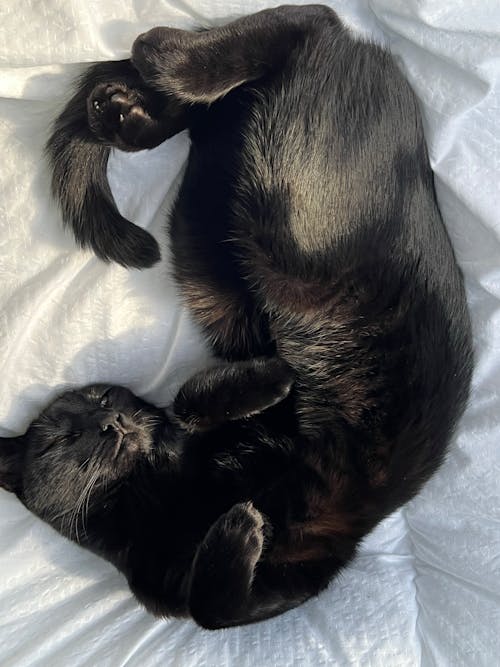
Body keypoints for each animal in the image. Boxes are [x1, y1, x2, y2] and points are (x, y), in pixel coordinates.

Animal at [1, 5, 474, 628]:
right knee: (232, 98)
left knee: (307, 25)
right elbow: (210, 608)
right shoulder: (265, 580)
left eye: (101, 398)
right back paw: (126, 111)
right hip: (216, 237)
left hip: (290, 233)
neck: (154, 492)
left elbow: (189, 404)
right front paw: (239, 526)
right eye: (64, 440)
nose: (112, 422)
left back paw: (157, 61)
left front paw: (271, 380)